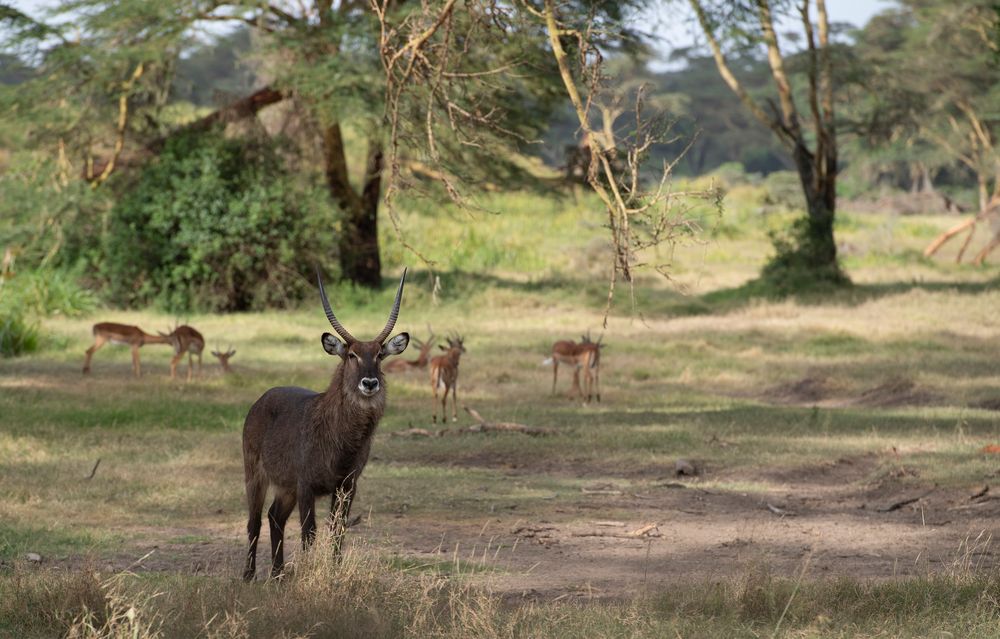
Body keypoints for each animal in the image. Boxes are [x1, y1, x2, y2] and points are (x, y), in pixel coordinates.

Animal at [240, 268, 408, 580]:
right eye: (352, 355)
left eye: (379, 355)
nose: (369, 383)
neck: (342, 439)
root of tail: (262, 399)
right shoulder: (306, 484)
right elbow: (310, 532)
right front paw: (309, 574)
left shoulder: (347, 485)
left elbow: (337, 530)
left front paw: (333, 572)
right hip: (255, 473)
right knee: (254, 520)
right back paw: (249, 575)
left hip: (286, 487)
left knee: (274, 516)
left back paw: (278, 573)